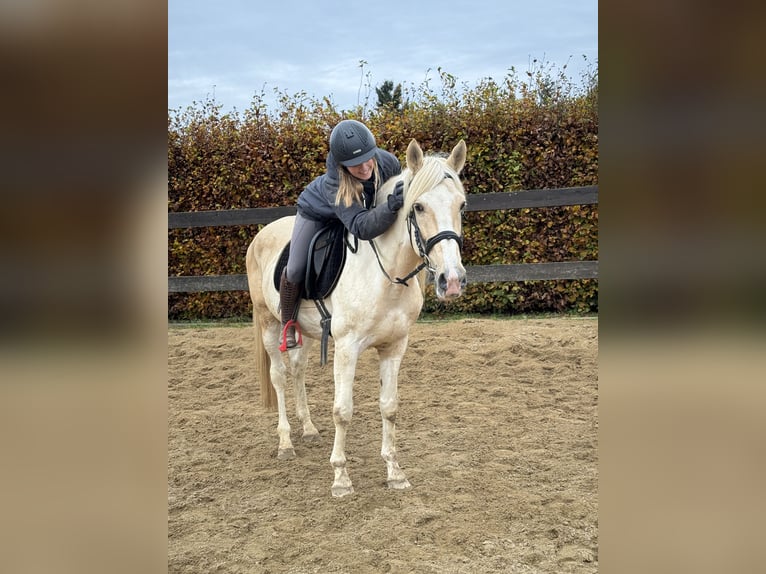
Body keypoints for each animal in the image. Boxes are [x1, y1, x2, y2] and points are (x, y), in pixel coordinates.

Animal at [246, 140, 468, 500]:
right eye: (418, 207)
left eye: (461, 205)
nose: (452, 281)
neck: (387, 274)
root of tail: (261, 235)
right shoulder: (347, 348)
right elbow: (343, 411)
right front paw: (340, 478)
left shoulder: (394, 347)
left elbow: (389, 407)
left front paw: (395, 472)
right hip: (268, 323)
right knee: (279, 377)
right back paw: (285, 443)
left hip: (301, 331)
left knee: (297, 370)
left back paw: (308, 429)